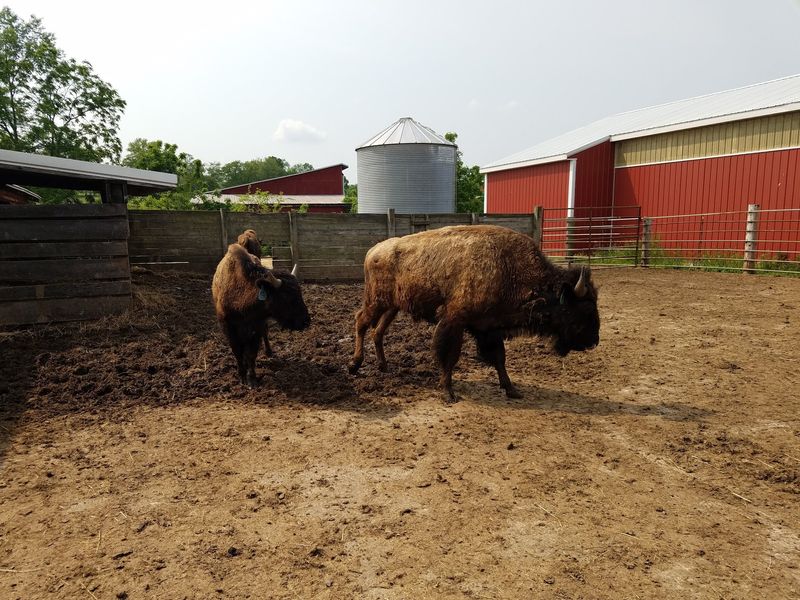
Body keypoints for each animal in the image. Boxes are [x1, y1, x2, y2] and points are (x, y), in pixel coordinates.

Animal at [212, 242, 310, 387]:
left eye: (299, 293)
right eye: (286, 296)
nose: (305, 321)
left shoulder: (256, 327)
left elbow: (251, 353)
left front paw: (252, 379)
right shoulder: (228, 328)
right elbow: (237, 352)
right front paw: (242, 376)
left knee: (265, 334)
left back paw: (269, 352)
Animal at [348, 225, 599, 401]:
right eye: (584, 309)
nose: (594, 341)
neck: (509, 269)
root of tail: (373, 250)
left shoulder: (488, 327)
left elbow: (499, 358)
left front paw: (512, 389)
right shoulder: (454, 321)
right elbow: (449, 356)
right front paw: (448, 393)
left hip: (393, 306)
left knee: (378, 331)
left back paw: (383, 366)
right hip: (376, 302)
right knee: (361, 322)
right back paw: (354, 365)